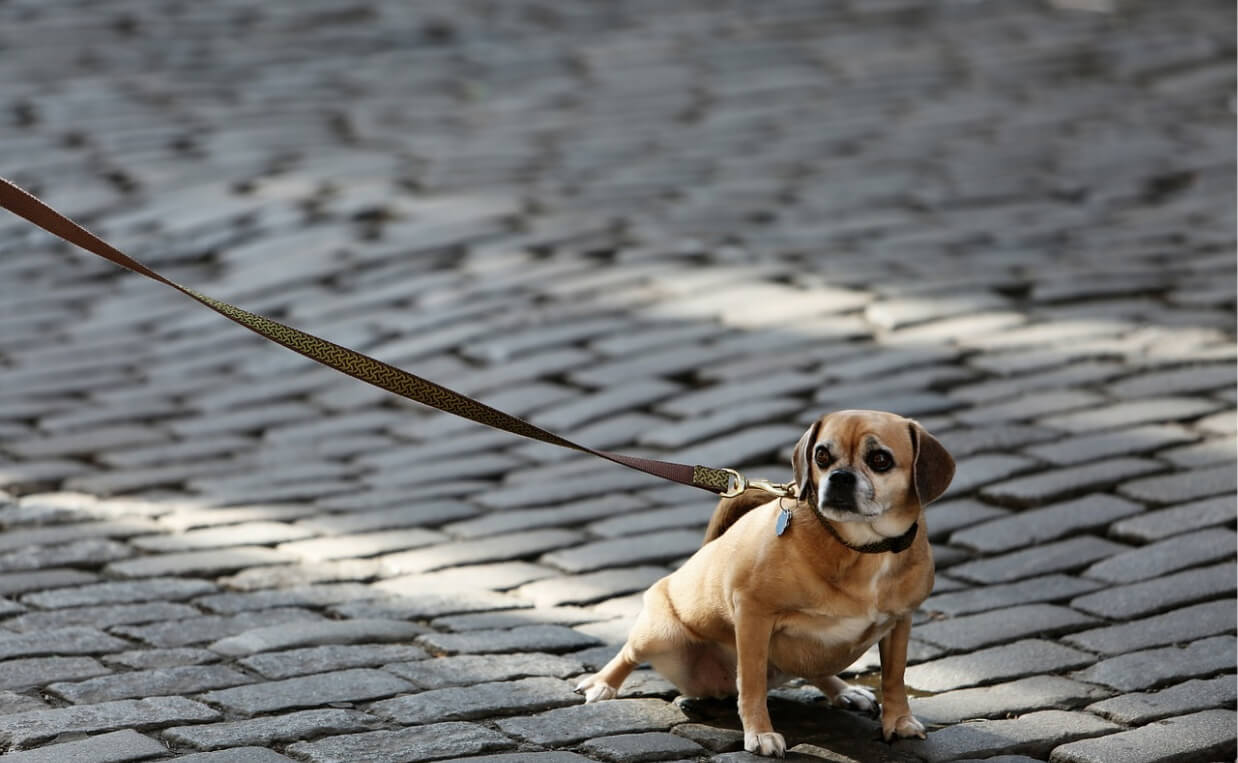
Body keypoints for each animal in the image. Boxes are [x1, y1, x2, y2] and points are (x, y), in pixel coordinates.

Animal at [574, 411, 950, 758]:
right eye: (822, 457)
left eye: (880, 460)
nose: (839, 477)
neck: (860, 548)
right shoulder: (754, 615)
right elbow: (751, 683)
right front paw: (760, 734)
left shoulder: (900, 621)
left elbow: (894, 676)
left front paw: (898, 721)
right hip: (659, 635)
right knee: (628, 653)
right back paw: (602, 684)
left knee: (815, 668)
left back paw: (845, 691)